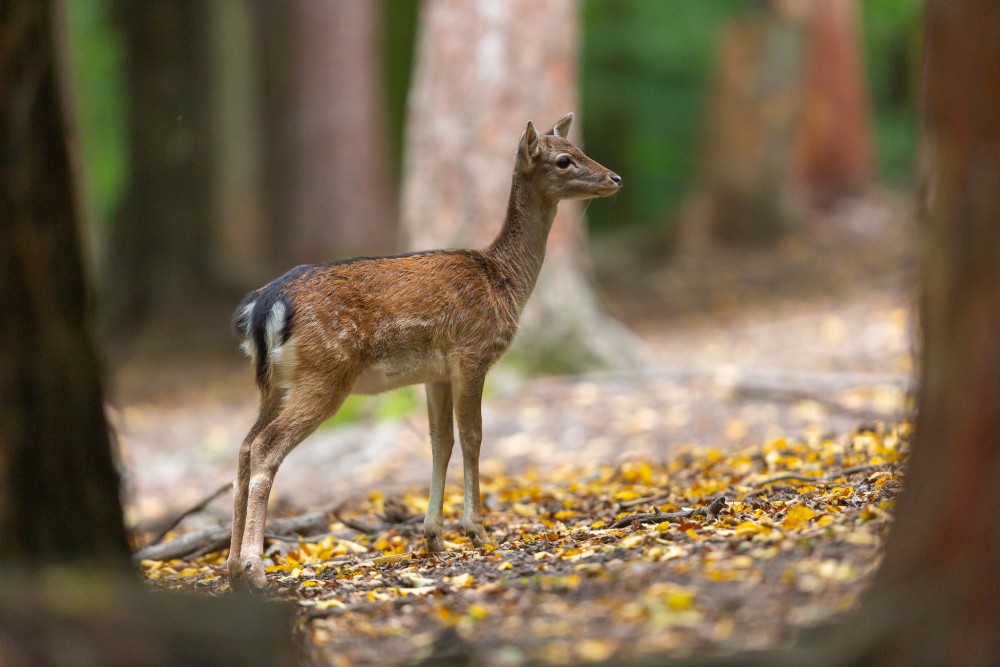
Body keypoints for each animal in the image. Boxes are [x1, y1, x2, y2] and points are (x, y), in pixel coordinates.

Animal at [227, 113, 616, 588]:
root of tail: (264, 306)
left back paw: (231, 568)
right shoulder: (473, 353)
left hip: (273, 384)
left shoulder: (437, 372)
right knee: (265, 448)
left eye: (579, 149)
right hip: (324, 374)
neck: (504, 281)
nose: (615, 178)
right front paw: (477, 531)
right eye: (563, 160)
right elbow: (473, 436)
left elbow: (439, 441)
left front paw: (434, 537)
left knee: (244, 447)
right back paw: (254, 568)